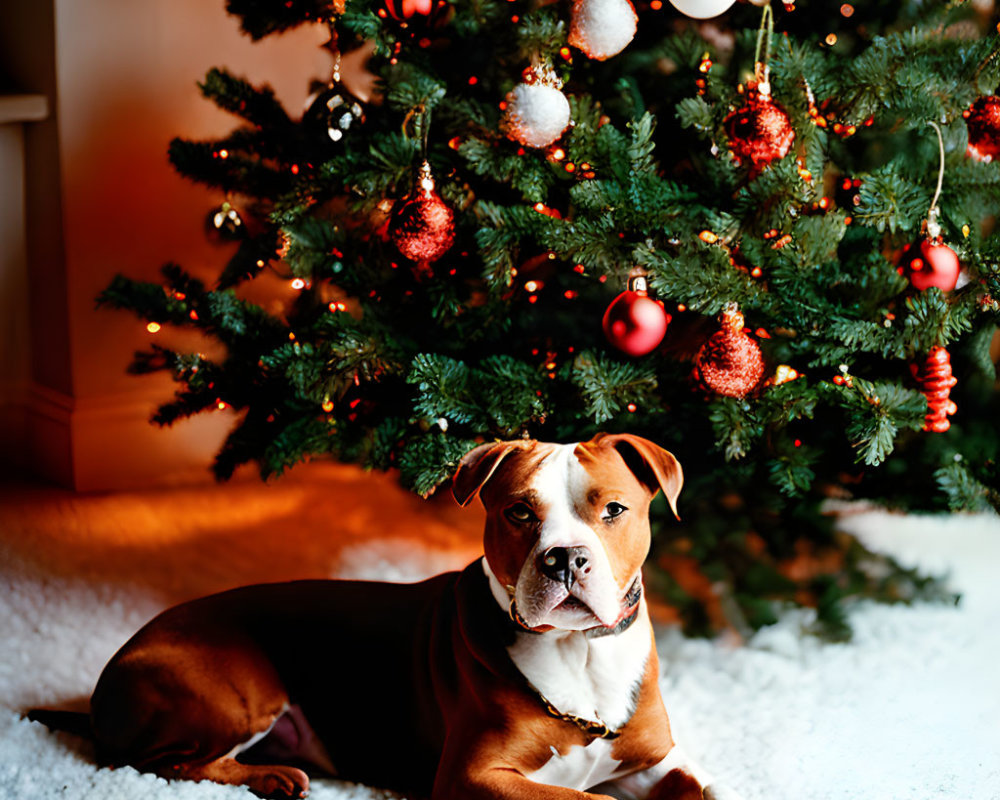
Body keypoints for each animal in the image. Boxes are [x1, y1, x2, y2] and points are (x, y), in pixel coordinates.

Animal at [31, 434, 740, 800]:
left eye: (613, 509)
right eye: (519, 511)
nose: (565, 557)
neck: (580, 650)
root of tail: (112, 672)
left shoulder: (658, 760)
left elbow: (704, 788)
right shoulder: (475, 777)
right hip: (237, 689)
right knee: (152, 763)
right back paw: (270, 776)